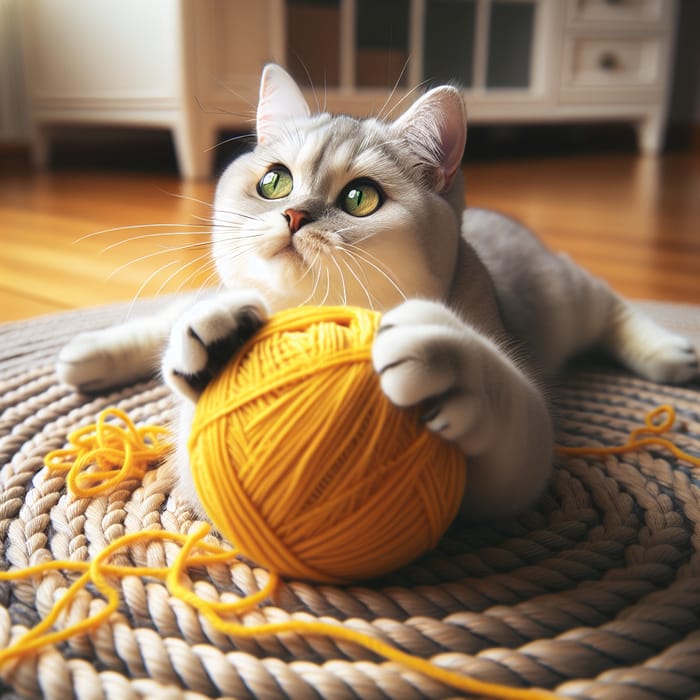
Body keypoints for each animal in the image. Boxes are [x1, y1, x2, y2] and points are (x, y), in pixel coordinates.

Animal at [56, 64, 700, 520]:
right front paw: (216, 344)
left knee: (612, 304)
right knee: (169, 315)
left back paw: (671, 352)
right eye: (274, 183)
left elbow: (506, 404)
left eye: (359, 198)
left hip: (569, 293)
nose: (293, 215)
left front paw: (446, 359)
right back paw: (89, 353)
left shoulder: (514, 468)